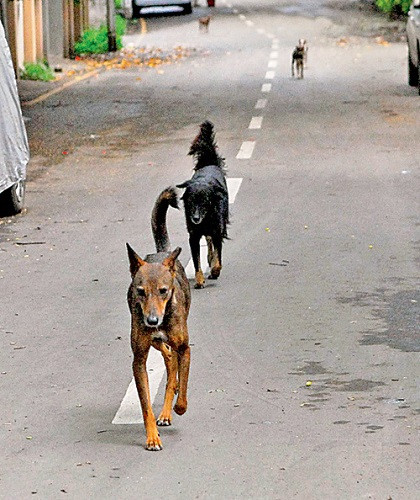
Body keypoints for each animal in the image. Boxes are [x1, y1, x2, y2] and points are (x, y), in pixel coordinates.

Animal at [124, 187, 190, 450]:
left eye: (163, 291)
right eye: (140, 291)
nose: (152, 321)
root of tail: (162, 253)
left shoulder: (185, 347)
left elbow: (182, 386)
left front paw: (178, 406)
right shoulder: (139, 359)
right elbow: (145, 406)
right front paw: (152, 436)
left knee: (173, 366)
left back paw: (169, 409)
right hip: (151, 340)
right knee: (168, 359)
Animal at [177, 121, 230, 292]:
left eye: (205, 201)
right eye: (191, 201)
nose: (195, 218)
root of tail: (209, 163)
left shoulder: (217, 231)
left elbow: (218, 259)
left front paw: (214, 270)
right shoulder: (193, 236)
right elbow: (196, 261)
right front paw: (199, 280)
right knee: (208, 240)